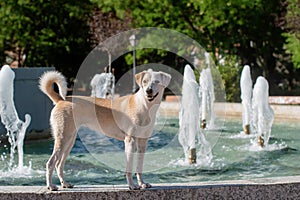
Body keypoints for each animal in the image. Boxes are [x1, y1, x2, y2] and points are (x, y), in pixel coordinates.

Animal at [39, 69, 171, 191]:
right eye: (144, 81)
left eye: (157, 81)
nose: (148, 90)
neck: (144, 105)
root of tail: (61, 100)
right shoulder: (130, 140)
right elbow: (129, 167)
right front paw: (132, 186)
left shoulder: (143, 141)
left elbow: (139, 166)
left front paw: (142, 184)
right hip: (63, 138)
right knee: (50, 163)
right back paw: (51, 186)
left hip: (69, 140)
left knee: (59, 164)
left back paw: (65, 184)